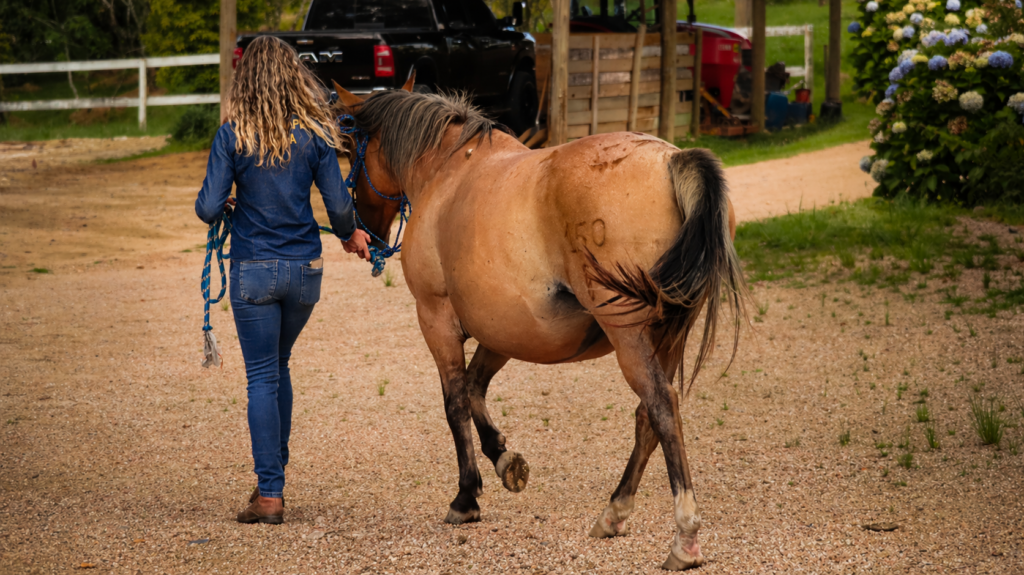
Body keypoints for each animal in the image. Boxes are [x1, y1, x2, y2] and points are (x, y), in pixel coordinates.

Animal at [332, 76, 746, 570]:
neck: (447, 172)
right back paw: (614, 512)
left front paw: (467, 496)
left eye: (350, 146)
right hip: (668, 337)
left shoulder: (436, 317)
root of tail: (672, 160)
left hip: (629, 336)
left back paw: (684, 537)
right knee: (648, 416)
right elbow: (475, 389)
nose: (362, 233)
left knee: (661, 406)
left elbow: (455, 402)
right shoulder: (503, 329)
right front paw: (504, 459)